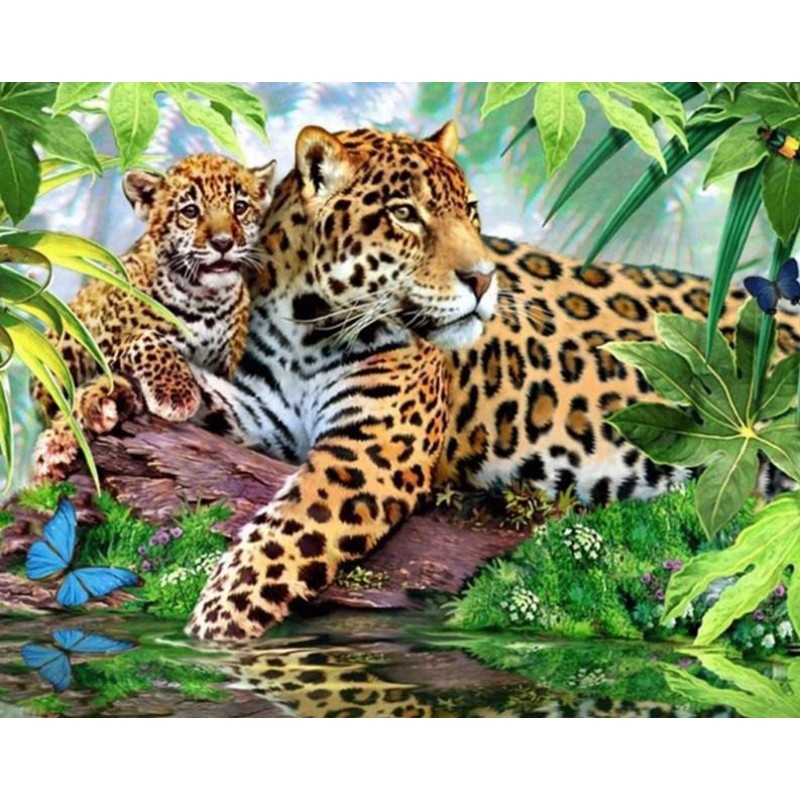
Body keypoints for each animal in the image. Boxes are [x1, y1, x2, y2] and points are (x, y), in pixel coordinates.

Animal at [32, 153, 276, 481]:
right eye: (190, 211)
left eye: (240, 207)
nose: (224, 243)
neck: (204, 299)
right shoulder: (104, 347)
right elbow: (145, 338)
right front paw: (176, 394)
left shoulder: (225, 368)